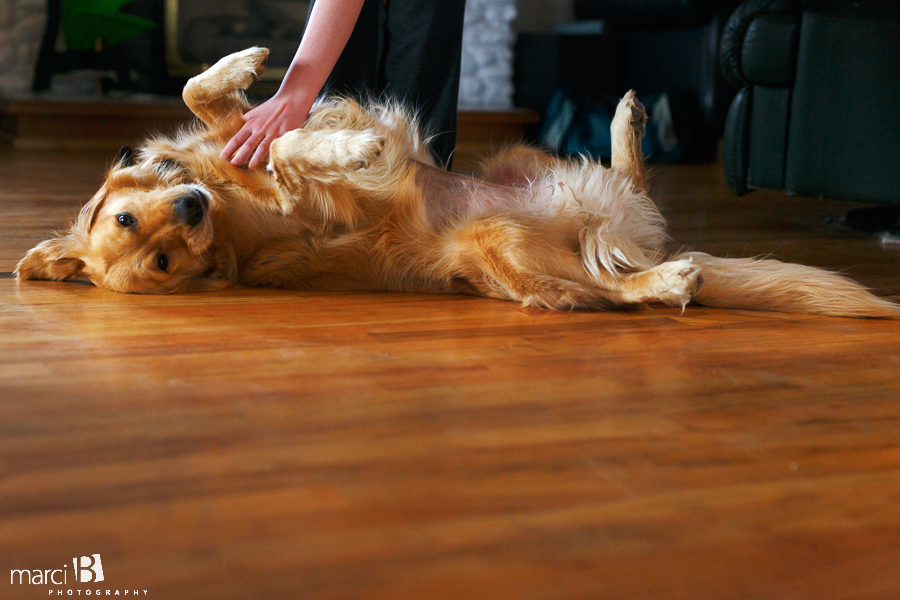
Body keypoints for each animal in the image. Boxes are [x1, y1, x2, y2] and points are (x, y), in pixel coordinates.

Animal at [12, 47, 900, 318]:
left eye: (128, 221)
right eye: (160, 261)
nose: (190, 206)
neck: (227, 206)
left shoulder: (229, 139)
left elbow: (211, 95)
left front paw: (246, 67)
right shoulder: (313, 207)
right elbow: (301, 155)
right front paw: (352, 146)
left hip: (514, 158)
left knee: (628, 180)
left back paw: (626, 119)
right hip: (499, 239)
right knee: (596, 291)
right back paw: (665, 278)